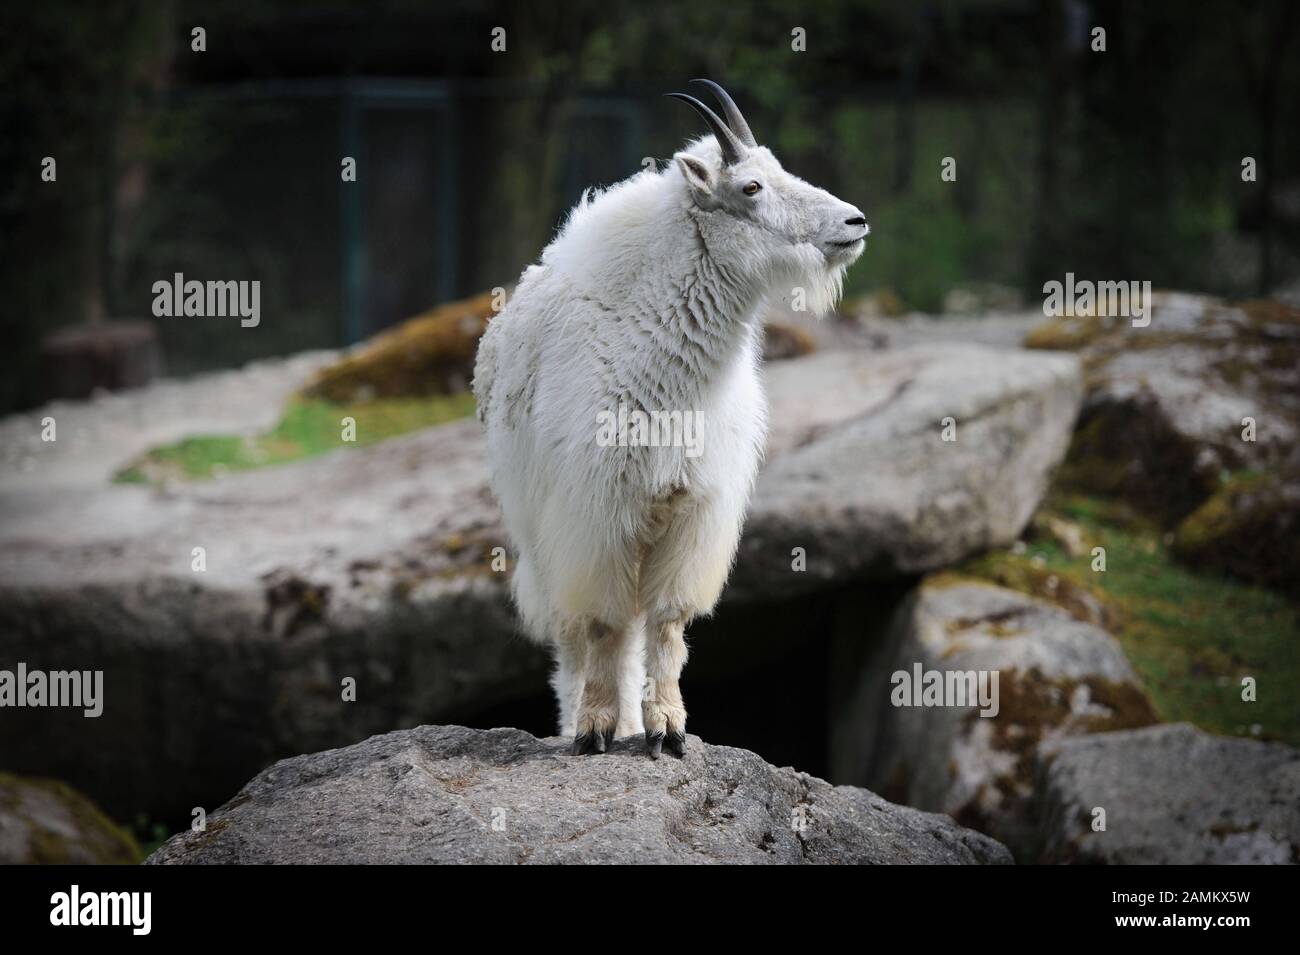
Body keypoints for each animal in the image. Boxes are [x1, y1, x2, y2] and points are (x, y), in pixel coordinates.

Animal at [473, 78, 868, 758]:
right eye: (751, 187)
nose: (855, 222)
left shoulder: (690, 511)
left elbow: (666, 623)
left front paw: (668, 728)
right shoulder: (596, 514)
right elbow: (602, 623)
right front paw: (596, 729)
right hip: (539, 528)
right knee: (574, 637)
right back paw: (580, 723)